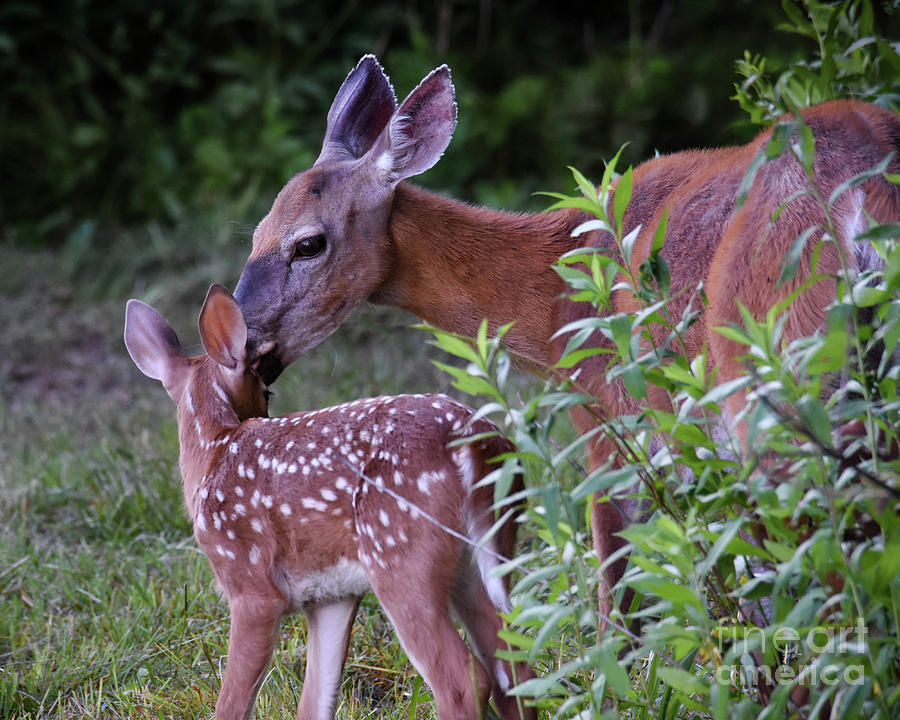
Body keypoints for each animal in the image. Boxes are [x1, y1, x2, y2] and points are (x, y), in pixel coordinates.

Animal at [125, 282, 536, 720]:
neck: (214, 451)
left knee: (463, 679)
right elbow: (314, 701)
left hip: (400, 553)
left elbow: (232, 703)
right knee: (514, 665)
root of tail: (480, 444)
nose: (266, 410)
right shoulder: (331, 594)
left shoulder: (250, 583)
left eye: (268, 388)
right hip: (477, 558)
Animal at [234, 57, 900, 624]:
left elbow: (618, 582)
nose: (240, 337)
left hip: (771, 380)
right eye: (255, 233)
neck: (555, 294)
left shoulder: (611, 412)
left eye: (308, 243)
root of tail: (864, 194)